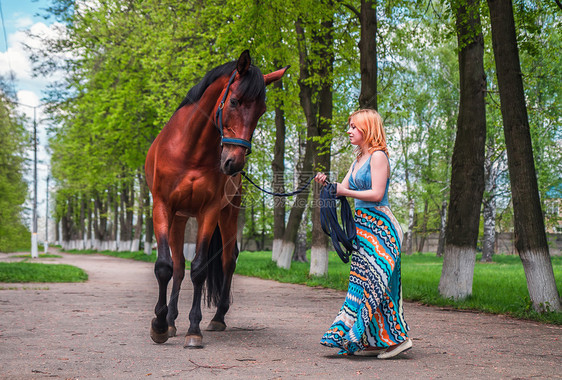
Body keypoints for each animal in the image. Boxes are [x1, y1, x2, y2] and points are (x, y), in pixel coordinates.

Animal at [144, 52, 286, 348]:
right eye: (234, 101)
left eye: (262, 110)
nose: (233, 162)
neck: (190, 150)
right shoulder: (162, 206)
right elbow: (165, 267)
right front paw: (160, 325)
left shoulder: (209, 211)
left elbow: (199, 268)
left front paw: (194, 330)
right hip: (179, 218)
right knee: (178, 265)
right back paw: (171, 320)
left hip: (227, 214)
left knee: (228, 260)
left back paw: (218, 318)